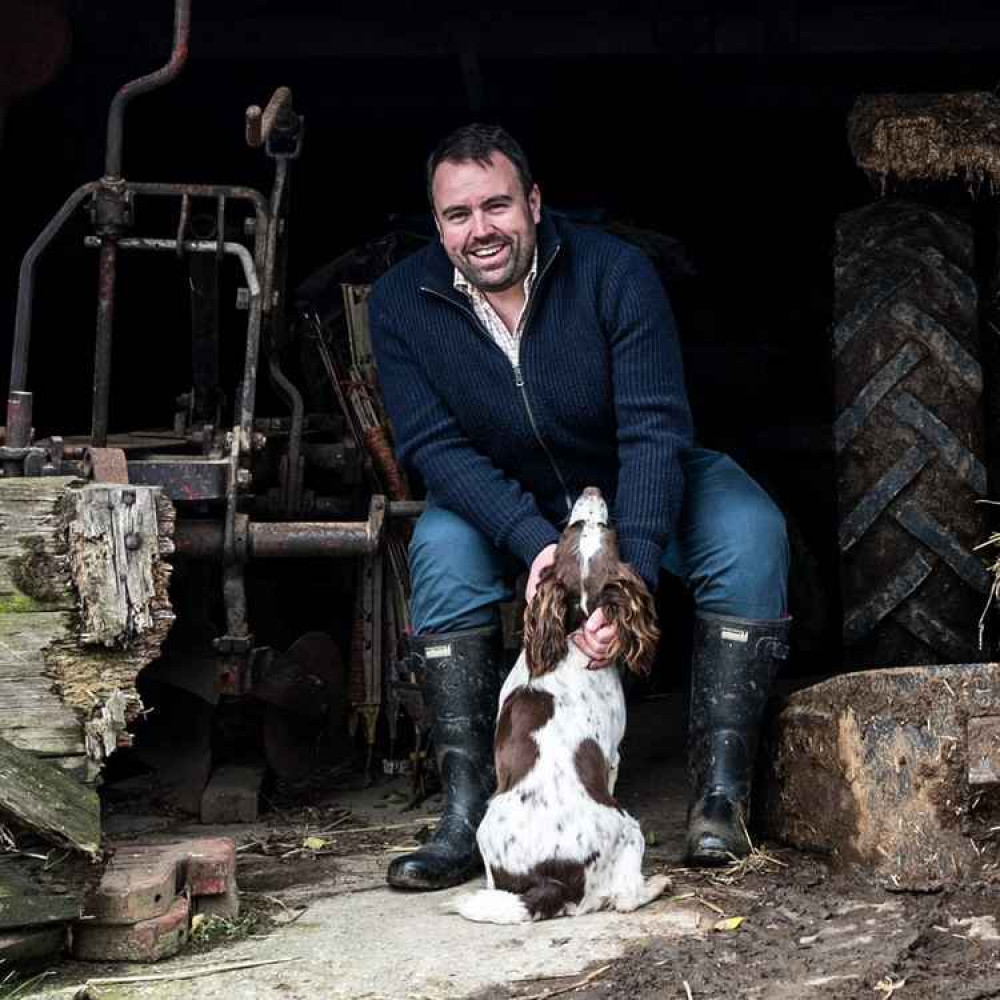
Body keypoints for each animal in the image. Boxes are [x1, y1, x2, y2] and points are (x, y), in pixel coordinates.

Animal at [454, 484, 672, 920]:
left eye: (595, 527)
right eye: (580, 525)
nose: (592, 489)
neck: (570, 638)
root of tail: (550, 880)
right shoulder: (613, 755)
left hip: (487, 829)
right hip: (629, 827)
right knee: (624, 897)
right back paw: (656, 884)